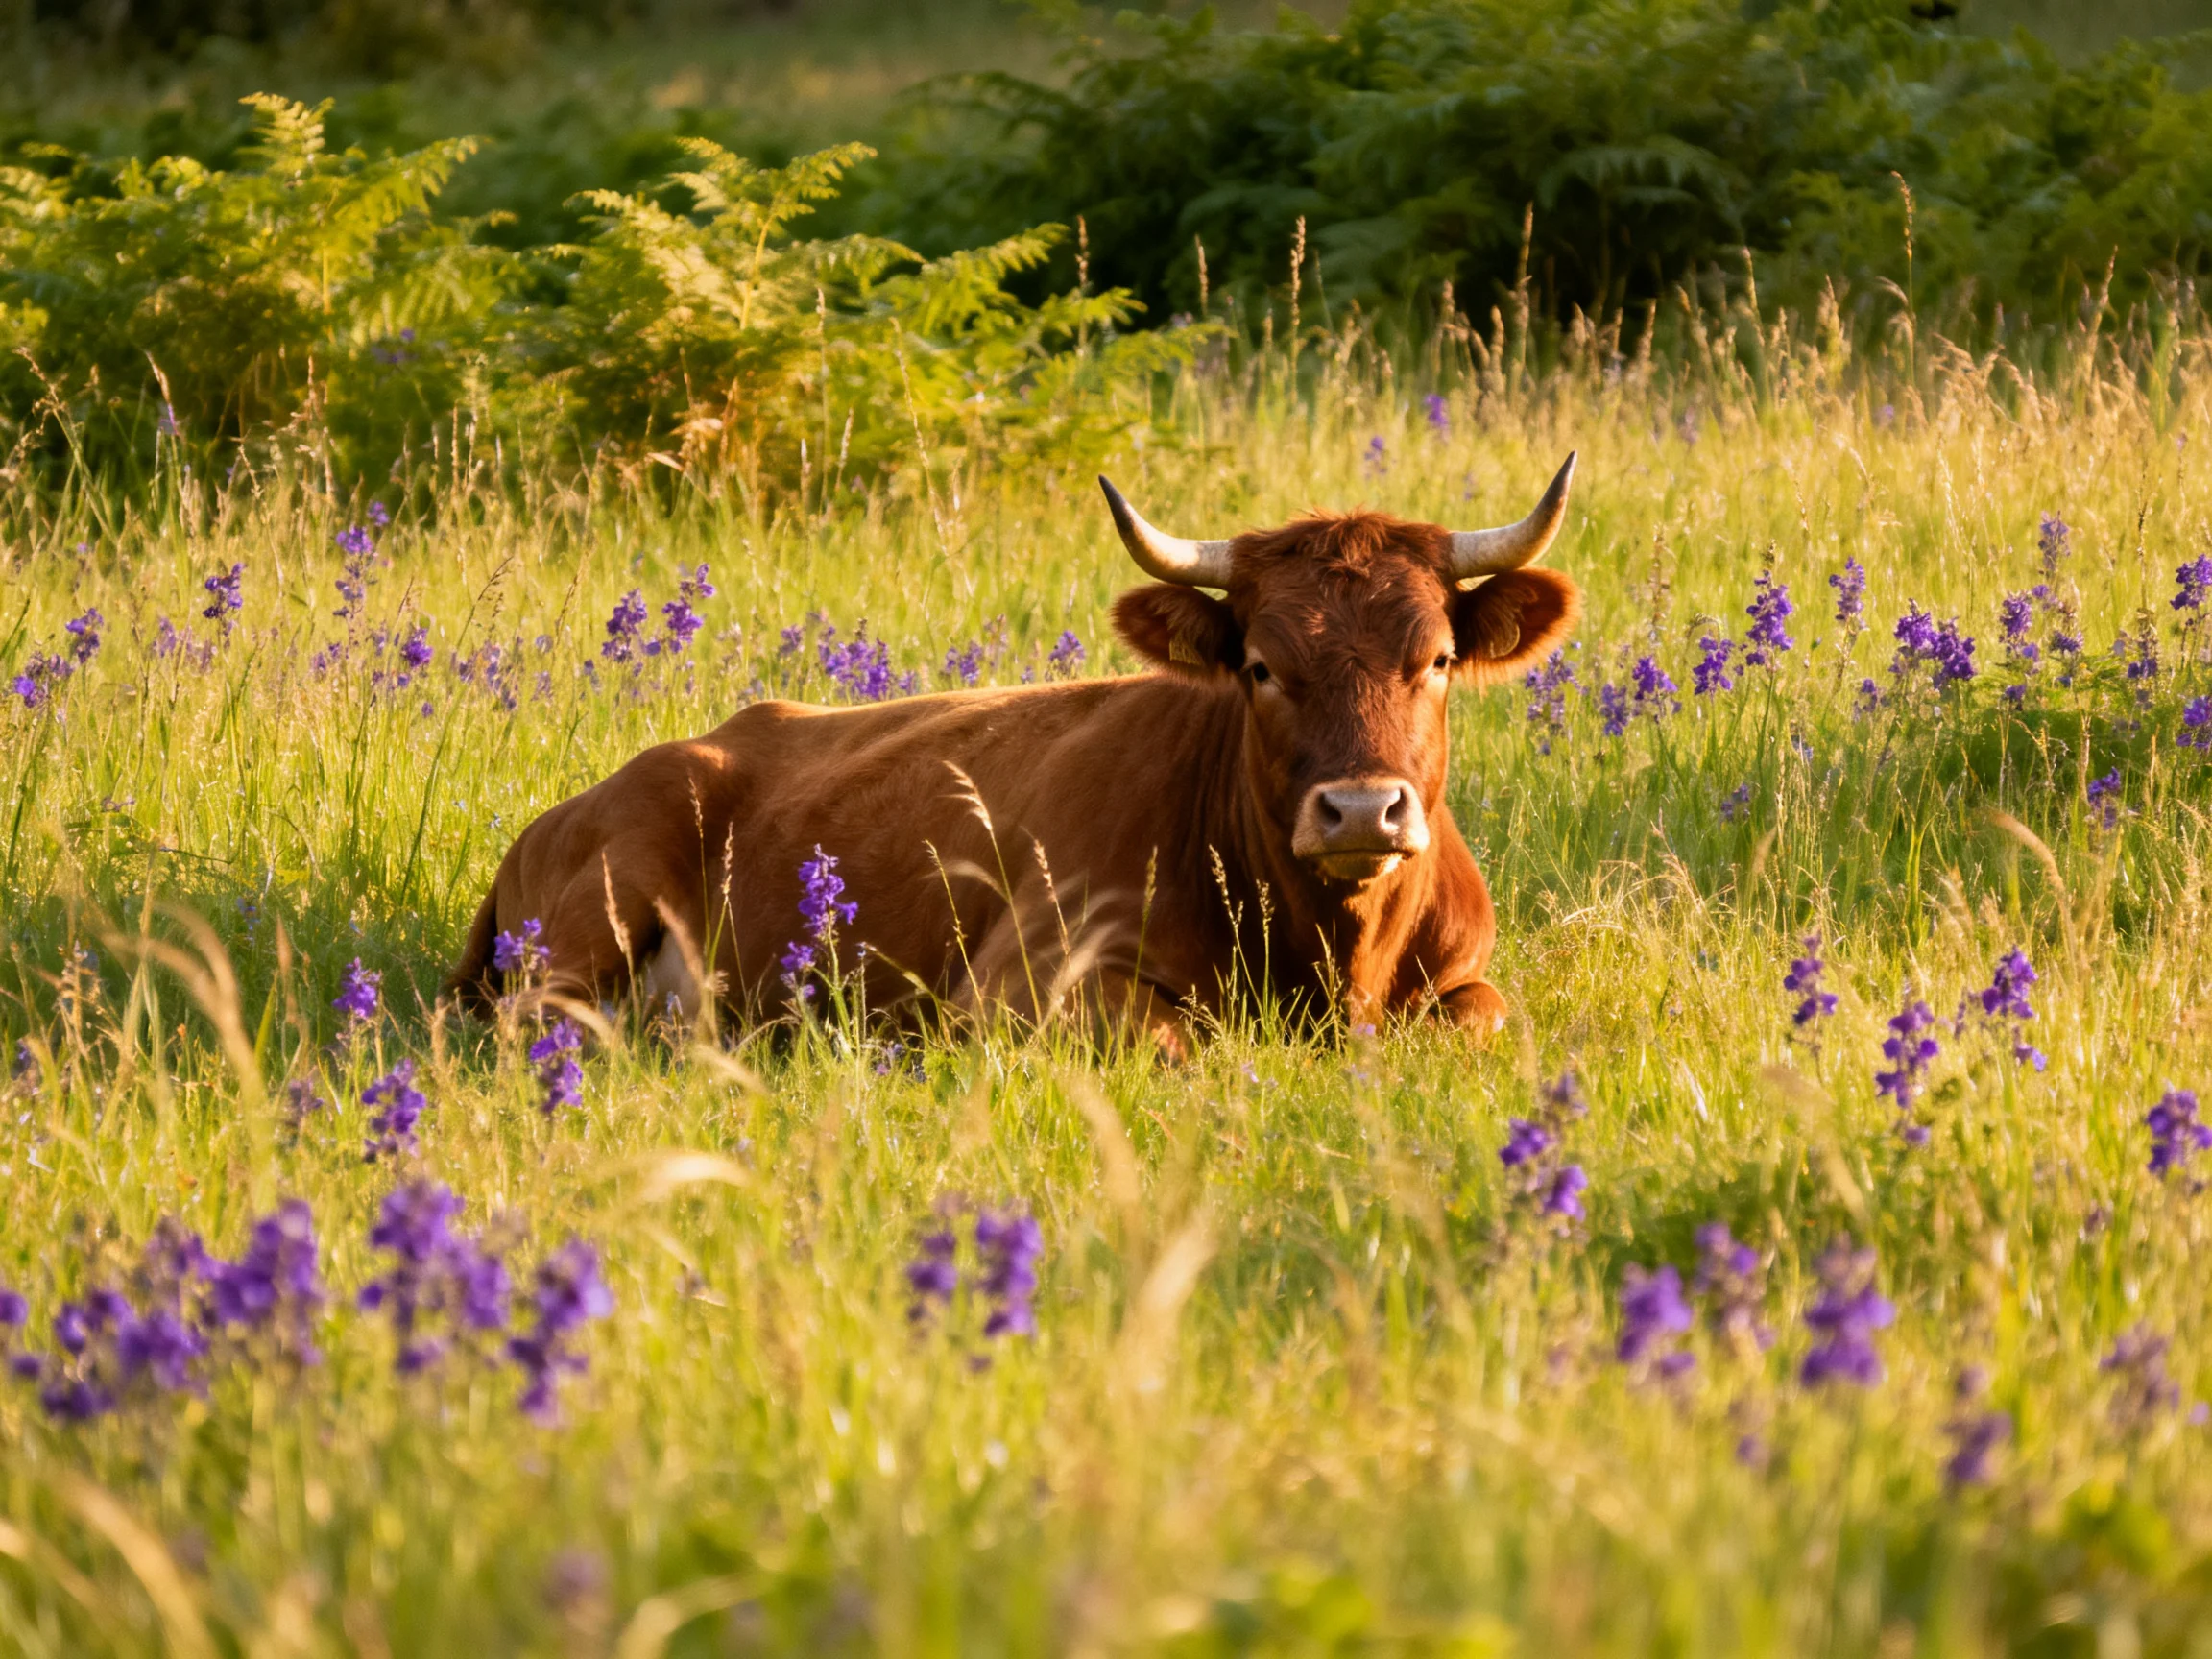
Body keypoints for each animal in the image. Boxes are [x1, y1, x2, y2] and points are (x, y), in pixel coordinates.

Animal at [444, 456, 1582, 1048]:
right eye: (1260, 666)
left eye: (1437, 659)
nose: (1358, 811)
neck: (1333, 957)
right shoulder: (1018, 985)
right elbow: (1171, 1035)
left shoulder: (1467, 981)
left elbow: (1484, 1021)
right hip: (596, 913)